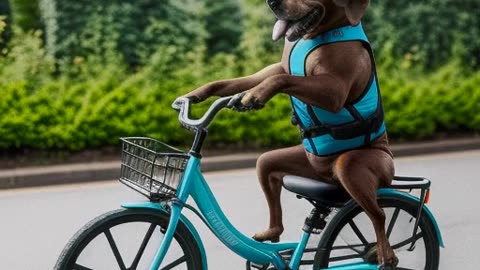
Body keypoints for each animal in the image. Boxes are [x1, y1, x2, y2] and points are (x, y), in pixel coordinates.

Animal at [184, 0, 398, 266]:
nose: (272, 3)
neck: (317, 34)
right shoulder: (275, 67)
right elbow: (248, 78)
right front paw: (199, 92)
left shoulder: (334, 91)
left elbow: (283, 79)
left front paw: (257, 93)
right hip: (291, 165)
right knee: (268, 169)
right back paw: (271, 232)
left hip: (354, 167)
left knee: (378, 214)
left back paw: (384, 253)